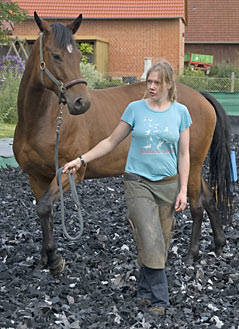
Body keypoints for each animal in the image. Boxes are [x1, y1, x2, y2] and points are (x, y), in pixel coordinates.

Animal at [13, 12, 233, 274]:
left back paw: (191, 254)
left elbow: (45, 208)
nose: (81, 102)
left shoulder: (71, 174)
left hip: (194, 164)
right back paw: (219, 245)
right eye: (56, 55)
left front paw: (55, 259)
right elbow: (44, 212)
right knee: (209, 198)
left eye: (78, 56)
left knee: (197, 205)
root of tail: (200, 96)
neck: (40, 120)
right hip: (188, 167)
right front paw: (45, 258)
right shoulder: (36, 178)